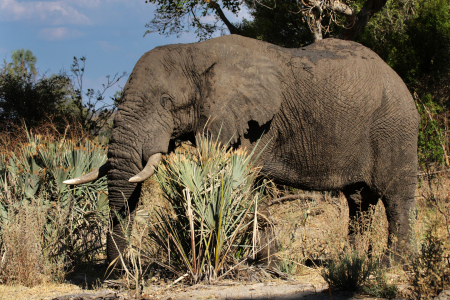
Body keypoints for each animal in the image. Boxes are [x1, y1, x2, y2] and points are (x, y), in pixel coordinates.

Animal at [65, 34, 420, 262]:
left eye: (166, 102)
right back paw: (352, 263)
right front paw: (268, 260)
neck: (195, 53)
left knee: (395, 199)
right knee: (359, 202)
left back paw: (392, 265)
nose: (117, 274)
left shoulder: (255, 123)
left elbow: (242, 181)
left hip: (396, 129)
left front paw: (265, 262)